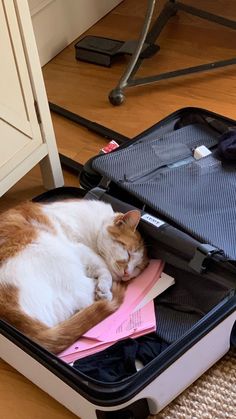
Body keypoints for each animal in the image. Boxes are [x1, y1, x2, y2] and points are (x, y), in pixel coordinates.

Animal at [0, 199, 148, 354]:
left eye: (137, 267)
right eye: (128, 253)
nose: (127, 273)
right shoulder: (80, 248)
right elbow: (104, 268)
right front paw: (104, 287)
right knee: (87, 296)